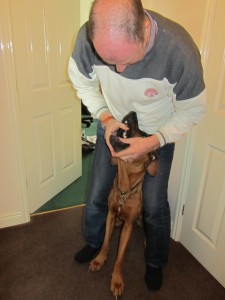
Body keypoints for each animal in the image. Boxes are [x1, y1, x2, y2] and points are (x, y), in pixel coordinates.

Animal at [88, 112, 158, 298]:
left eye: (146, 136)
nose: (133, 113)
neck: (125, 189)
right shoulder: (111, 214)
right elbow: (105, 242)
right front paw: (99, 260)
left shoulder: (129, 225)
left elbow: (120, 257)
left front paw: (117, 280)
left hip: (142, 218)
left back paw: (147, 240)